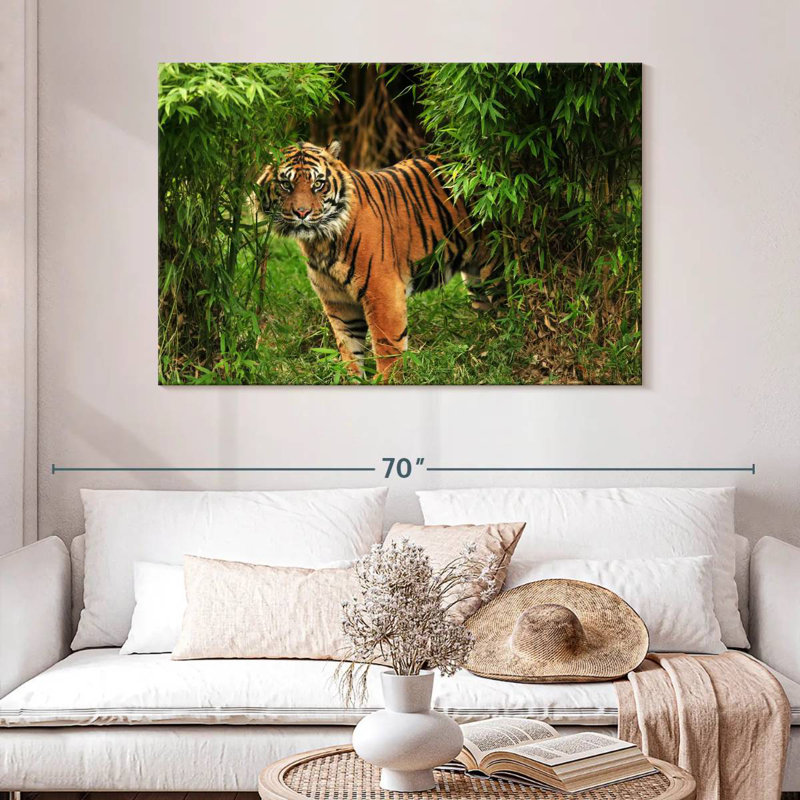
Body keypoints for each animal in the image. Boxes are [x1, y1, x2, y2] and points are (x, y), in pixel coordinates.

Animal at [256, 140, 500, 381]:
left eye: (318, 184)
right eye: (286, 185)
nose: (302, 212)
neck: (320, 241)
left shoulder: (383, 292)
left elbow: (387, 347)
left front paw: (386, 380)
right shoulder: (338, 301)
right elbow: (349, 349)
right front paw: (351, 379)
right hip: (476, 280)